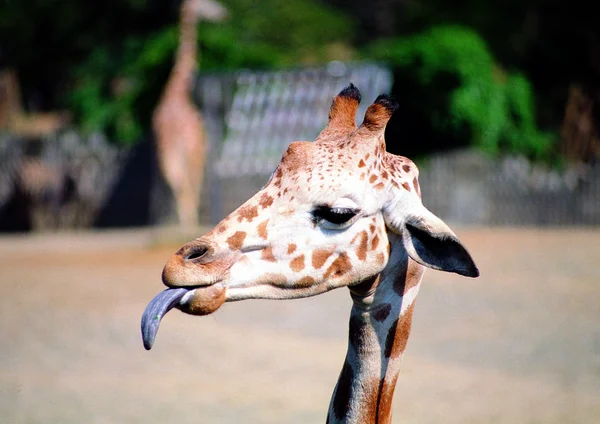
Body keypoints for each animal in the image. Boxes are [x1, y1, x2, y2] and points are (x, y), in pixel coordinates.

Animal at [152, 0, 227, 229]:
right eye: (208, 4)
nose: (225, 14)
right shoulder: (199, 150)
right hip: (193, 153)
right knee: (190, 186)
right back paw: (191, 224)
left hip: (169, 155)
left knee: (178, 184)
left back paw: (185, 224)